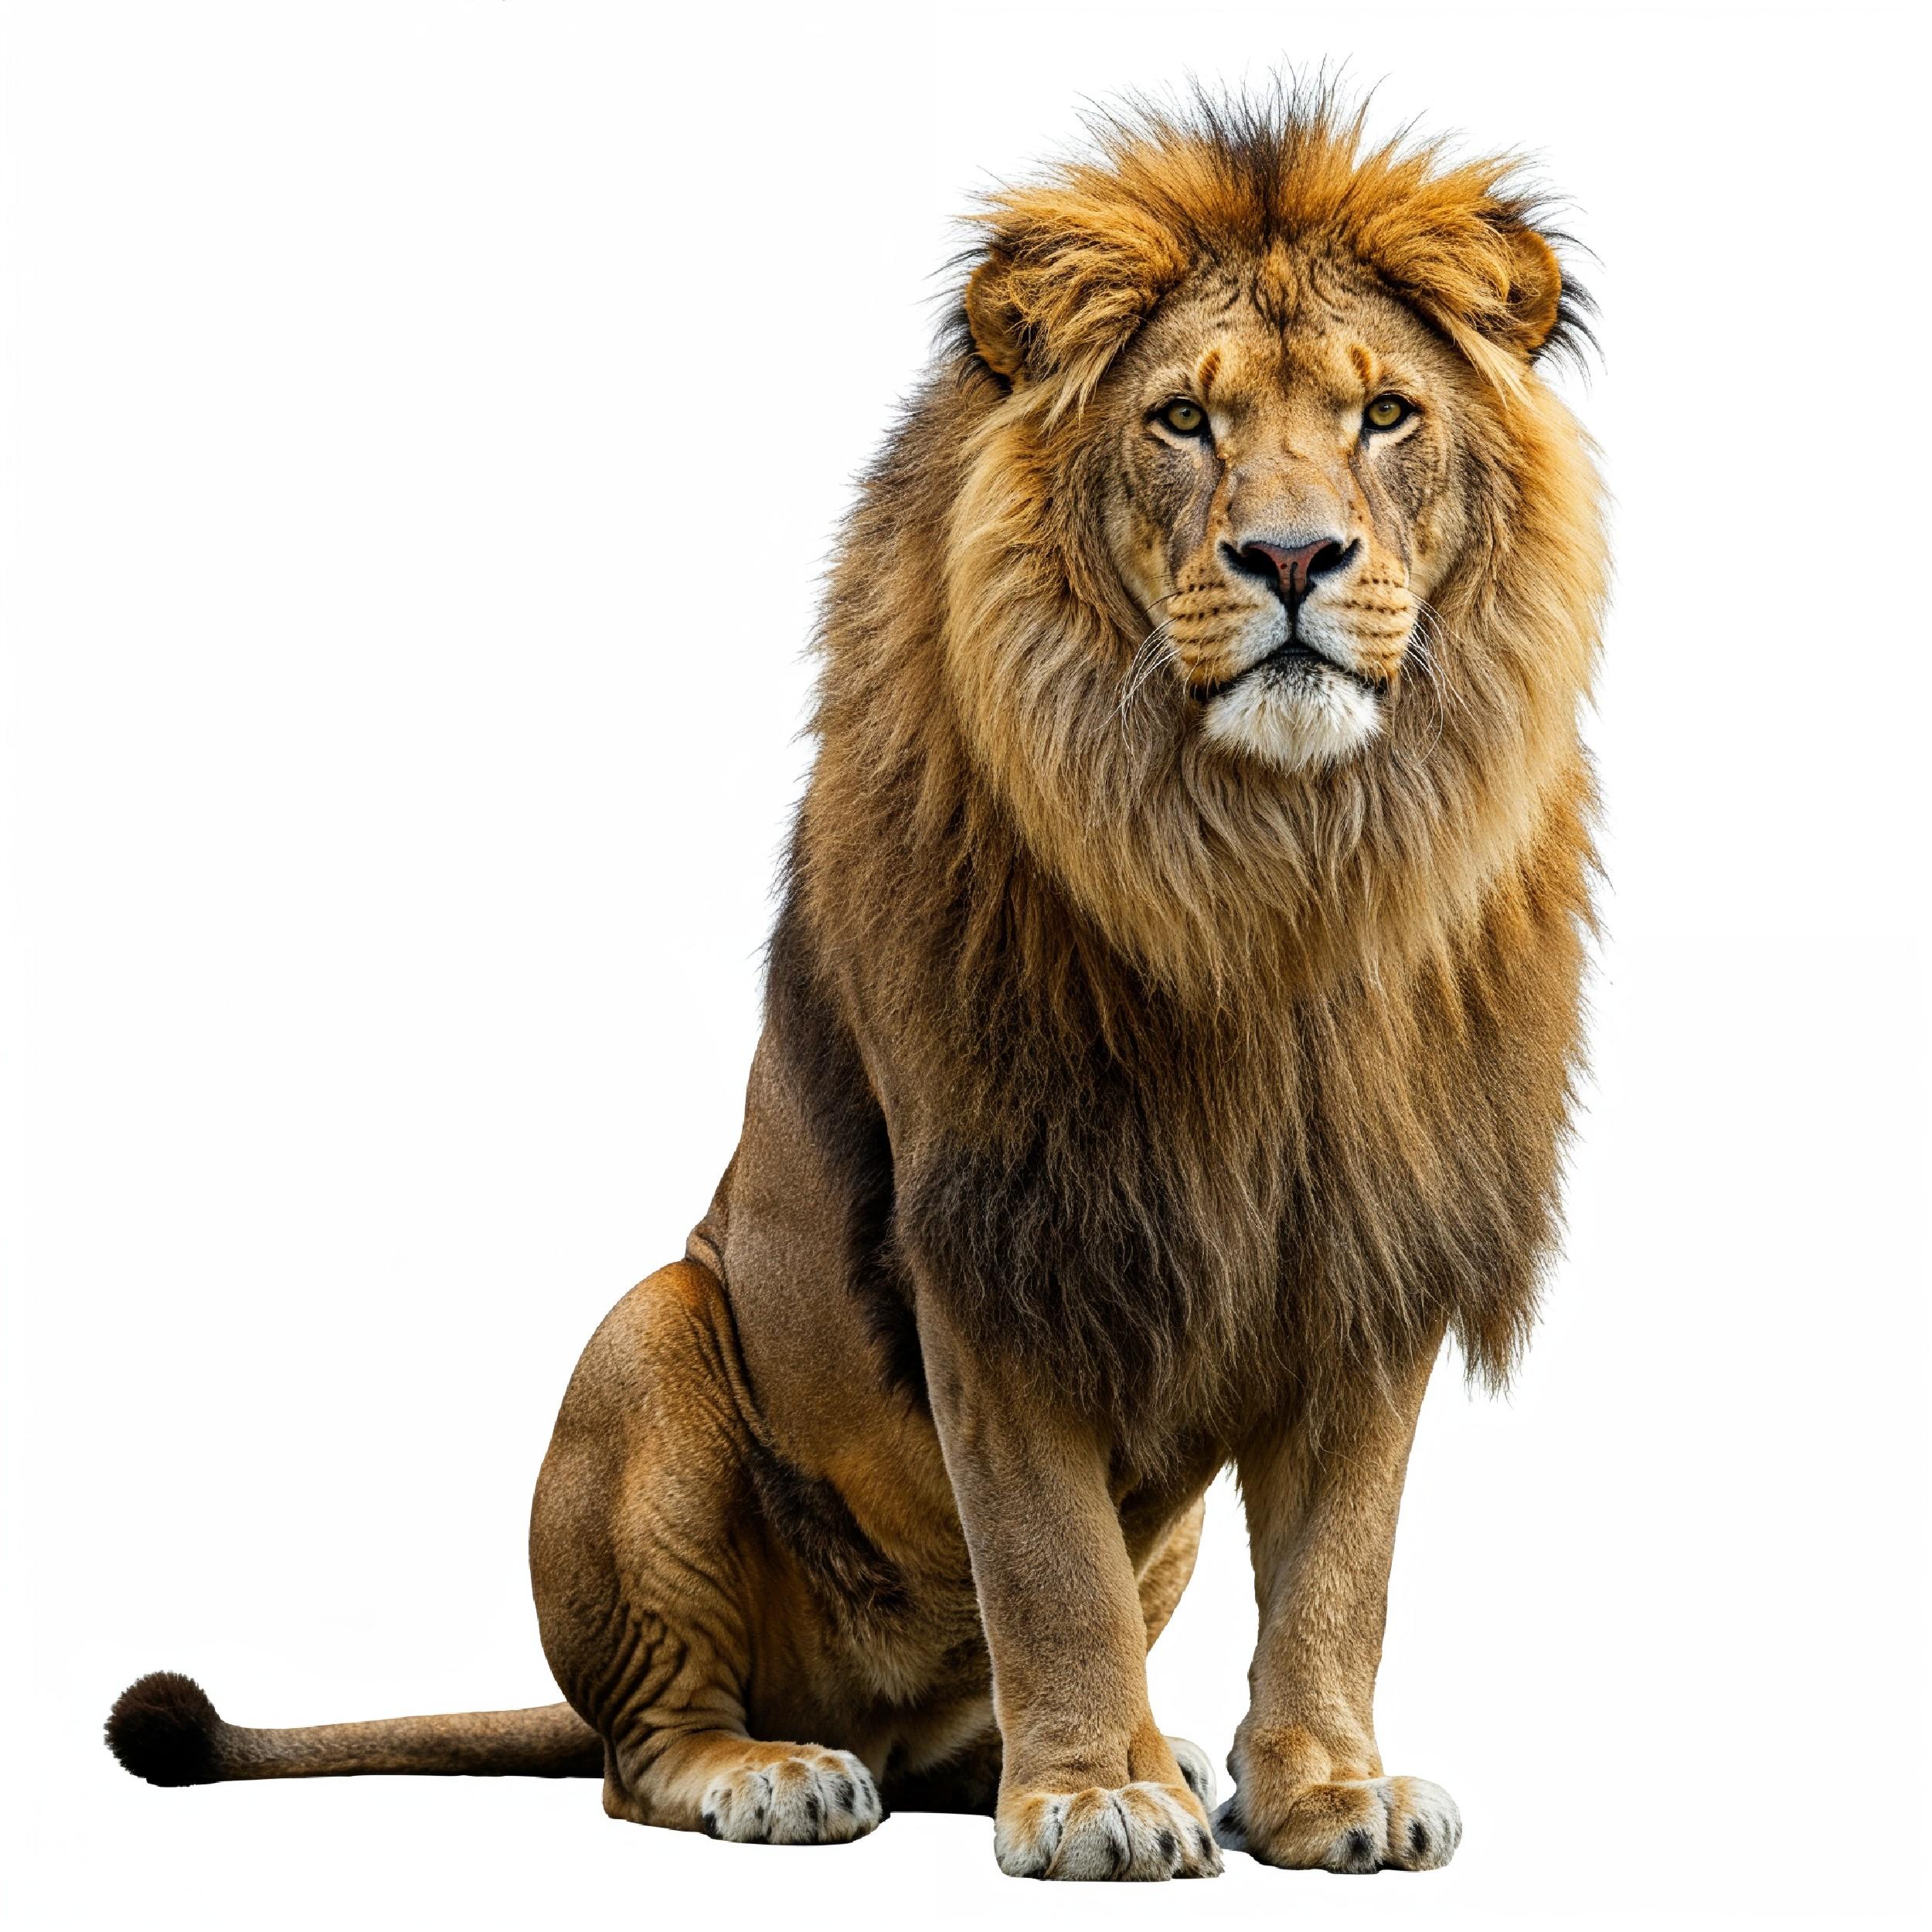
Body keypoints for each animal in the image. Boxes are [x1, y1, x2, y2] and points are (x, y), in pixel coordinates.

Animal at [107, 85, 1606, 1881]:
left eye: (1385, 414)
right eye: (1182, 420)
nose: (1295, 556)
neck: (1273, 868)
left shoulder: (1374, 1238)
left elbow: (1340, 1567)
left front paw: (1320, 1791)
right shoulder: (1001, 1223)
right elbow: (1047, 1559)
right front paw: (1093, 1796)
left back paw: (1116, 1752)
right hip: (651, 1338)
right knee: (641, 1746)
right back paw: (787, 1770)